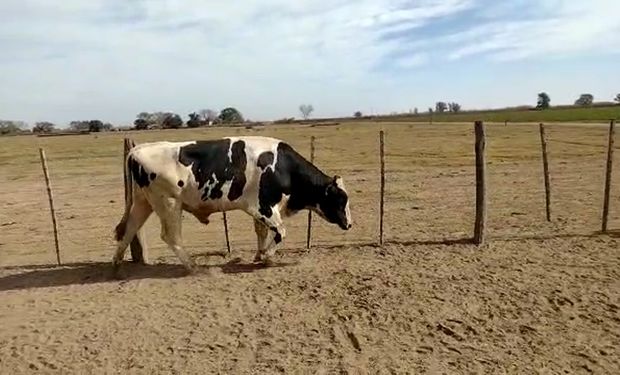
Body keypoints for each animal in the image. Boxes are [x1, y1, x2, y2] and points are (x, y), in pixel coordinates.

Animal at [112, 135, 352, 274]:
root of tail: (137, 150)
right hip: (169, 203)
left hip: (143, 202)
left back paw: (116, 263)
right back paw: (193, 267)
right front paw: (267, 257)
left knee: (130, 228)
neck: (282, 168)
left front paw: (259, 255)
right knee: (170, 236)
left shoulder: (261, 209)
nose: (349, 224)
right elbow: (280, 232)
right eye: (341, 199)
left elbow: (261, 231)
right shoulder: (264, 207)